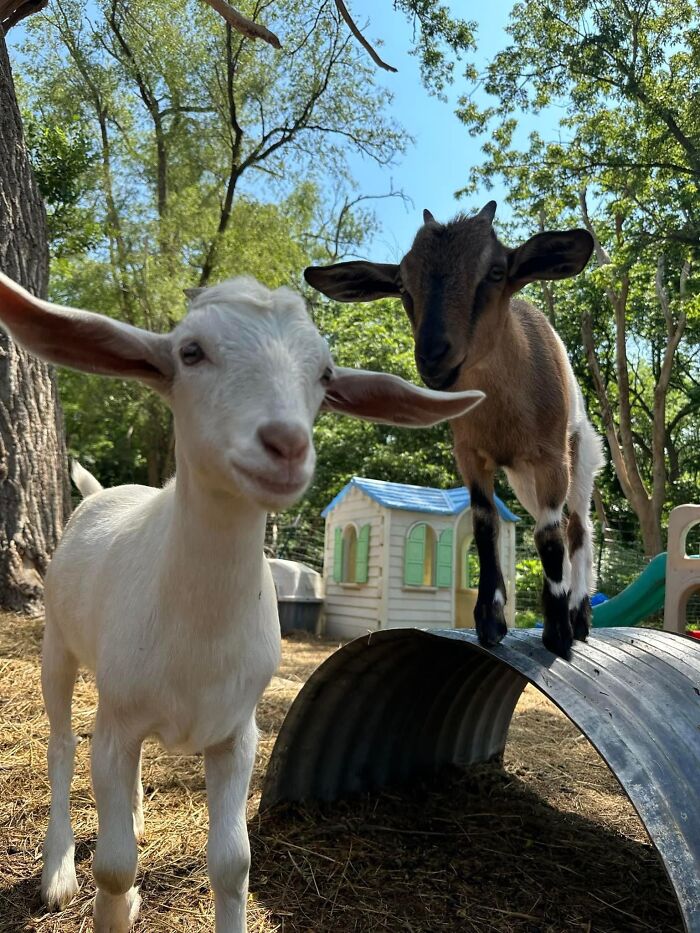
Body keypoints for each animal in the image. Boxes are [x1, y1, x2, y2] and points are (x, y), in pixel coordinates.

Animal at [0, 271, 485, 933]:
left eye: (325, 374)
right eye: (190, 352)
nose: (286, 445)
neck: (198, 633)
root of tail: (105, 491)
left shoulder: (237, 732)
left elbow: (232, 863)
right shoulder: (119, 721)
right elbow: (115, 868)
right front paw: (111, 897)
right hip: (58, 644)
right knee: (62, 746)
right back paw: (57, 872)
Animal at [304, 202, 605, 659]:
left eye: (496, 271)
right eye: (402, 284)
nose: (433, 356)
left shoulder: (551, 457)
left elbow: (549, 535)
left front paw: (557, 632)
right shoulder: (470, 455)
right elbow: (485, 526)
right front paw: (490, 620)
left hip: (580, 457)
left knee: (579, 529)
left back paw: (579, 614)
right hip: (523, 480)